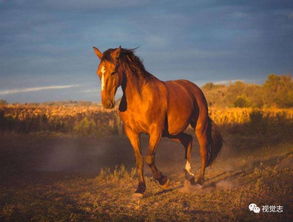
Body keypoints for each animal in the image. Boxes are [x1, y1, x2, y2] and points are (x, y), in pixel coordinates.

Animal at [93, 46, 221, 197]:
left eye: (113, 71)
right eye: (98, 73)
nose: (107, 103)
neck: (140, 98)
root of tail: (194, 89)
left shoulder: (155, 131)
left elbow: (149, 157)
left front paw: (163, 181)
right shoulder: (132, 132)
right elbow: (139, 159)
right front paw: (140, 189)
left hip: (199, 126)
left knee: (203, 151)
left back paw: (200, 181)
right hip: (171, 133)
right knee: (188, 140)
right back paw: (189, 175)